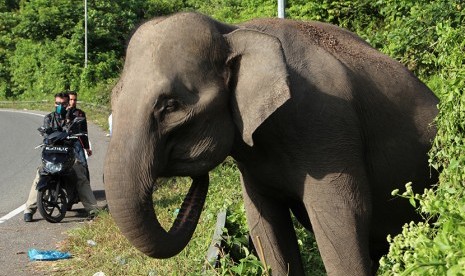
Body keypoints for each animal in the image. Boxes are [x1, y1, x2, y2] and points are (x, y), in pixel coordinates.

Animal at [103, 12, 436, 276]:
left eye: (170, 106)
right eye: (113, 99)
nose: (198, 176)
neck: (234, 32)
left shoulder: (326, 126)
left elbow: (341, 217)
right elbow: (264, 222)